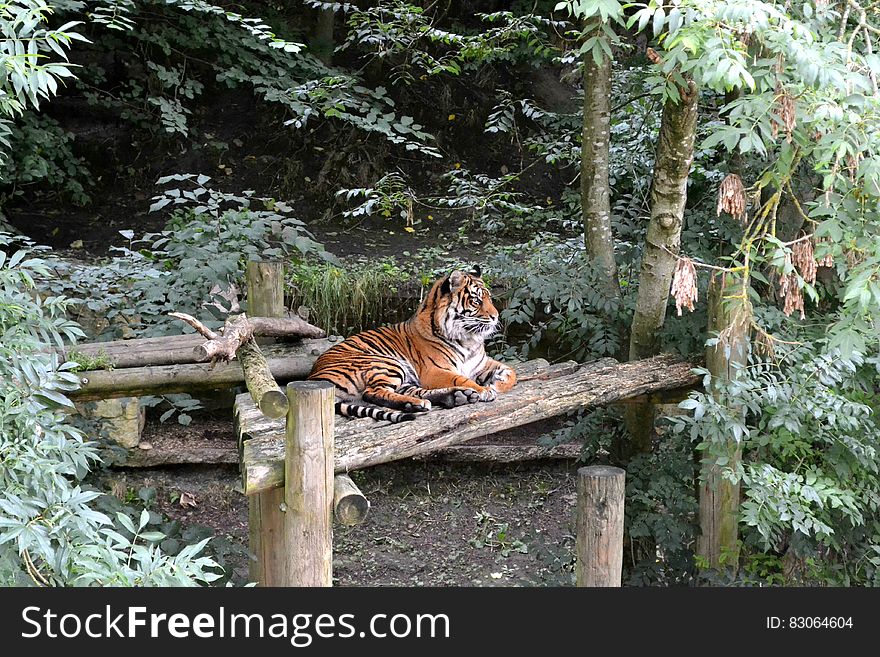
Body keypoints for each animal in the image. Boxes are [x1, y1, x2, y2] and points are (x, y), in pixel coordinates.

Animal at [308, 266, 516, 422]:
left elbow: (512, 372)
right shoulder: (434, 371)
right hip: (385, 363)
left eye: (489, 298)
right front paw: (484, 390)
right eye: (476, 300)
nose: (496, 316)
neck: (468, 339)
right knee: (372, 392)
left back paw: (451, 397)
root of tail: (314, 377)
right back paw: (421, 403)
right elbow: (463, 379)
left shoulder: (481, 363)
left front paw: (498, 384)